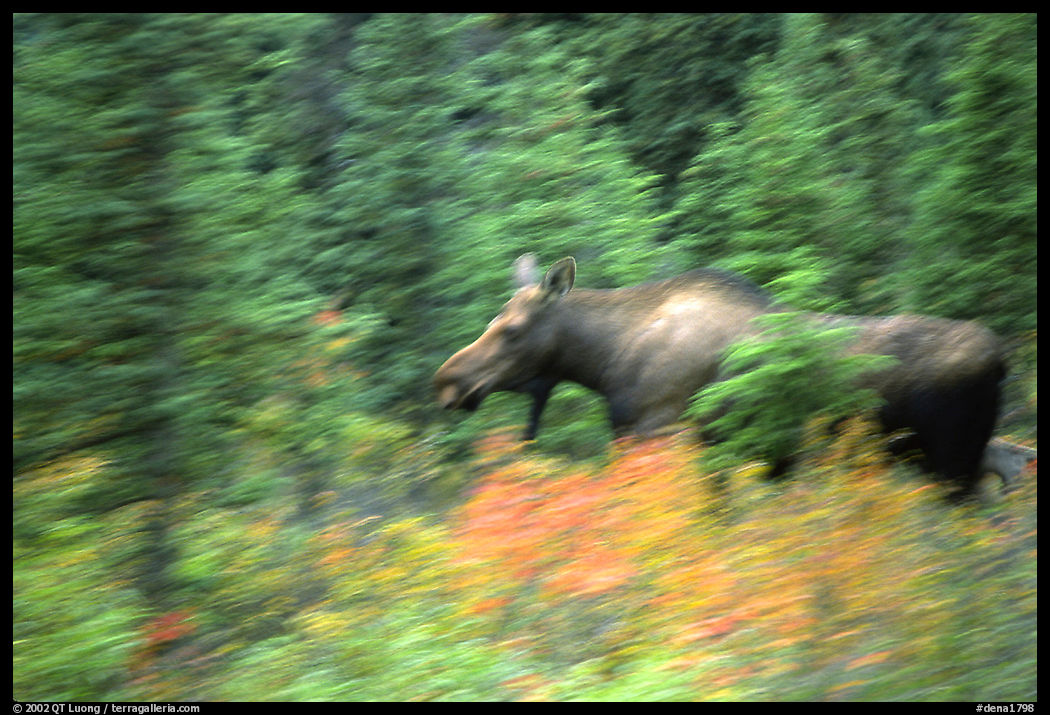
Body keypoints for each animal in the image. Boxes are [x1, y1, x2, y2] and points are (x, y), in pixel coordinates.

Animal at [434, 255, 1006, 493]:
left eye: (511, 329)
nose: (447, 381)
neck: (606, 360)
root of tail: (1001, 360)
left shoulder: (660, 432)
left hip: (951, 460)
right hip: (967, 457)